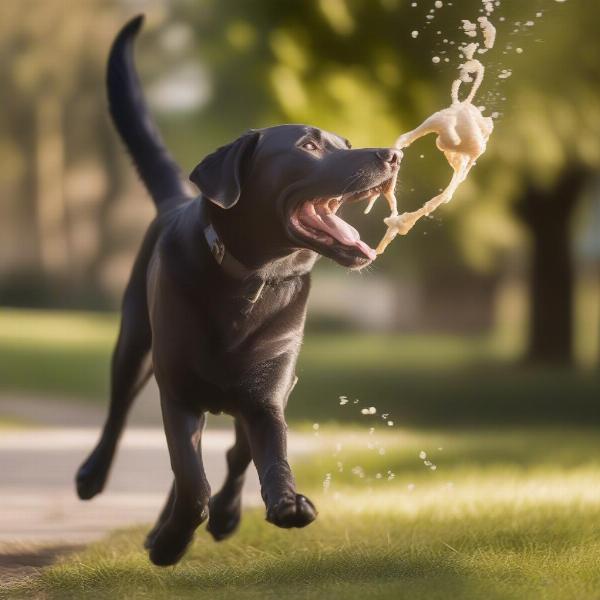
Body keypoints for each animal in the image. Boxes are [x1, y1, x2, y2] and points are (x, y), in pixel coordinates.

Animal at [76, 16, 404, 564]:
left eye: (345, 142)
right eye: (308, 146)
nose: (394, 154)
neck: (251, 279)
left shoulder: (268, 393)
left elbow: (264, 456)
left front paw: (284, 503)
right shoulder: (178, 391)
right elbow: (191, 480)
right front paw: (170, 544)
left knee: (233, 453)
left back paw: (223, 514)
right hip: (135, 343)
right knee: (120, 411)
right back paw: (93, 477)